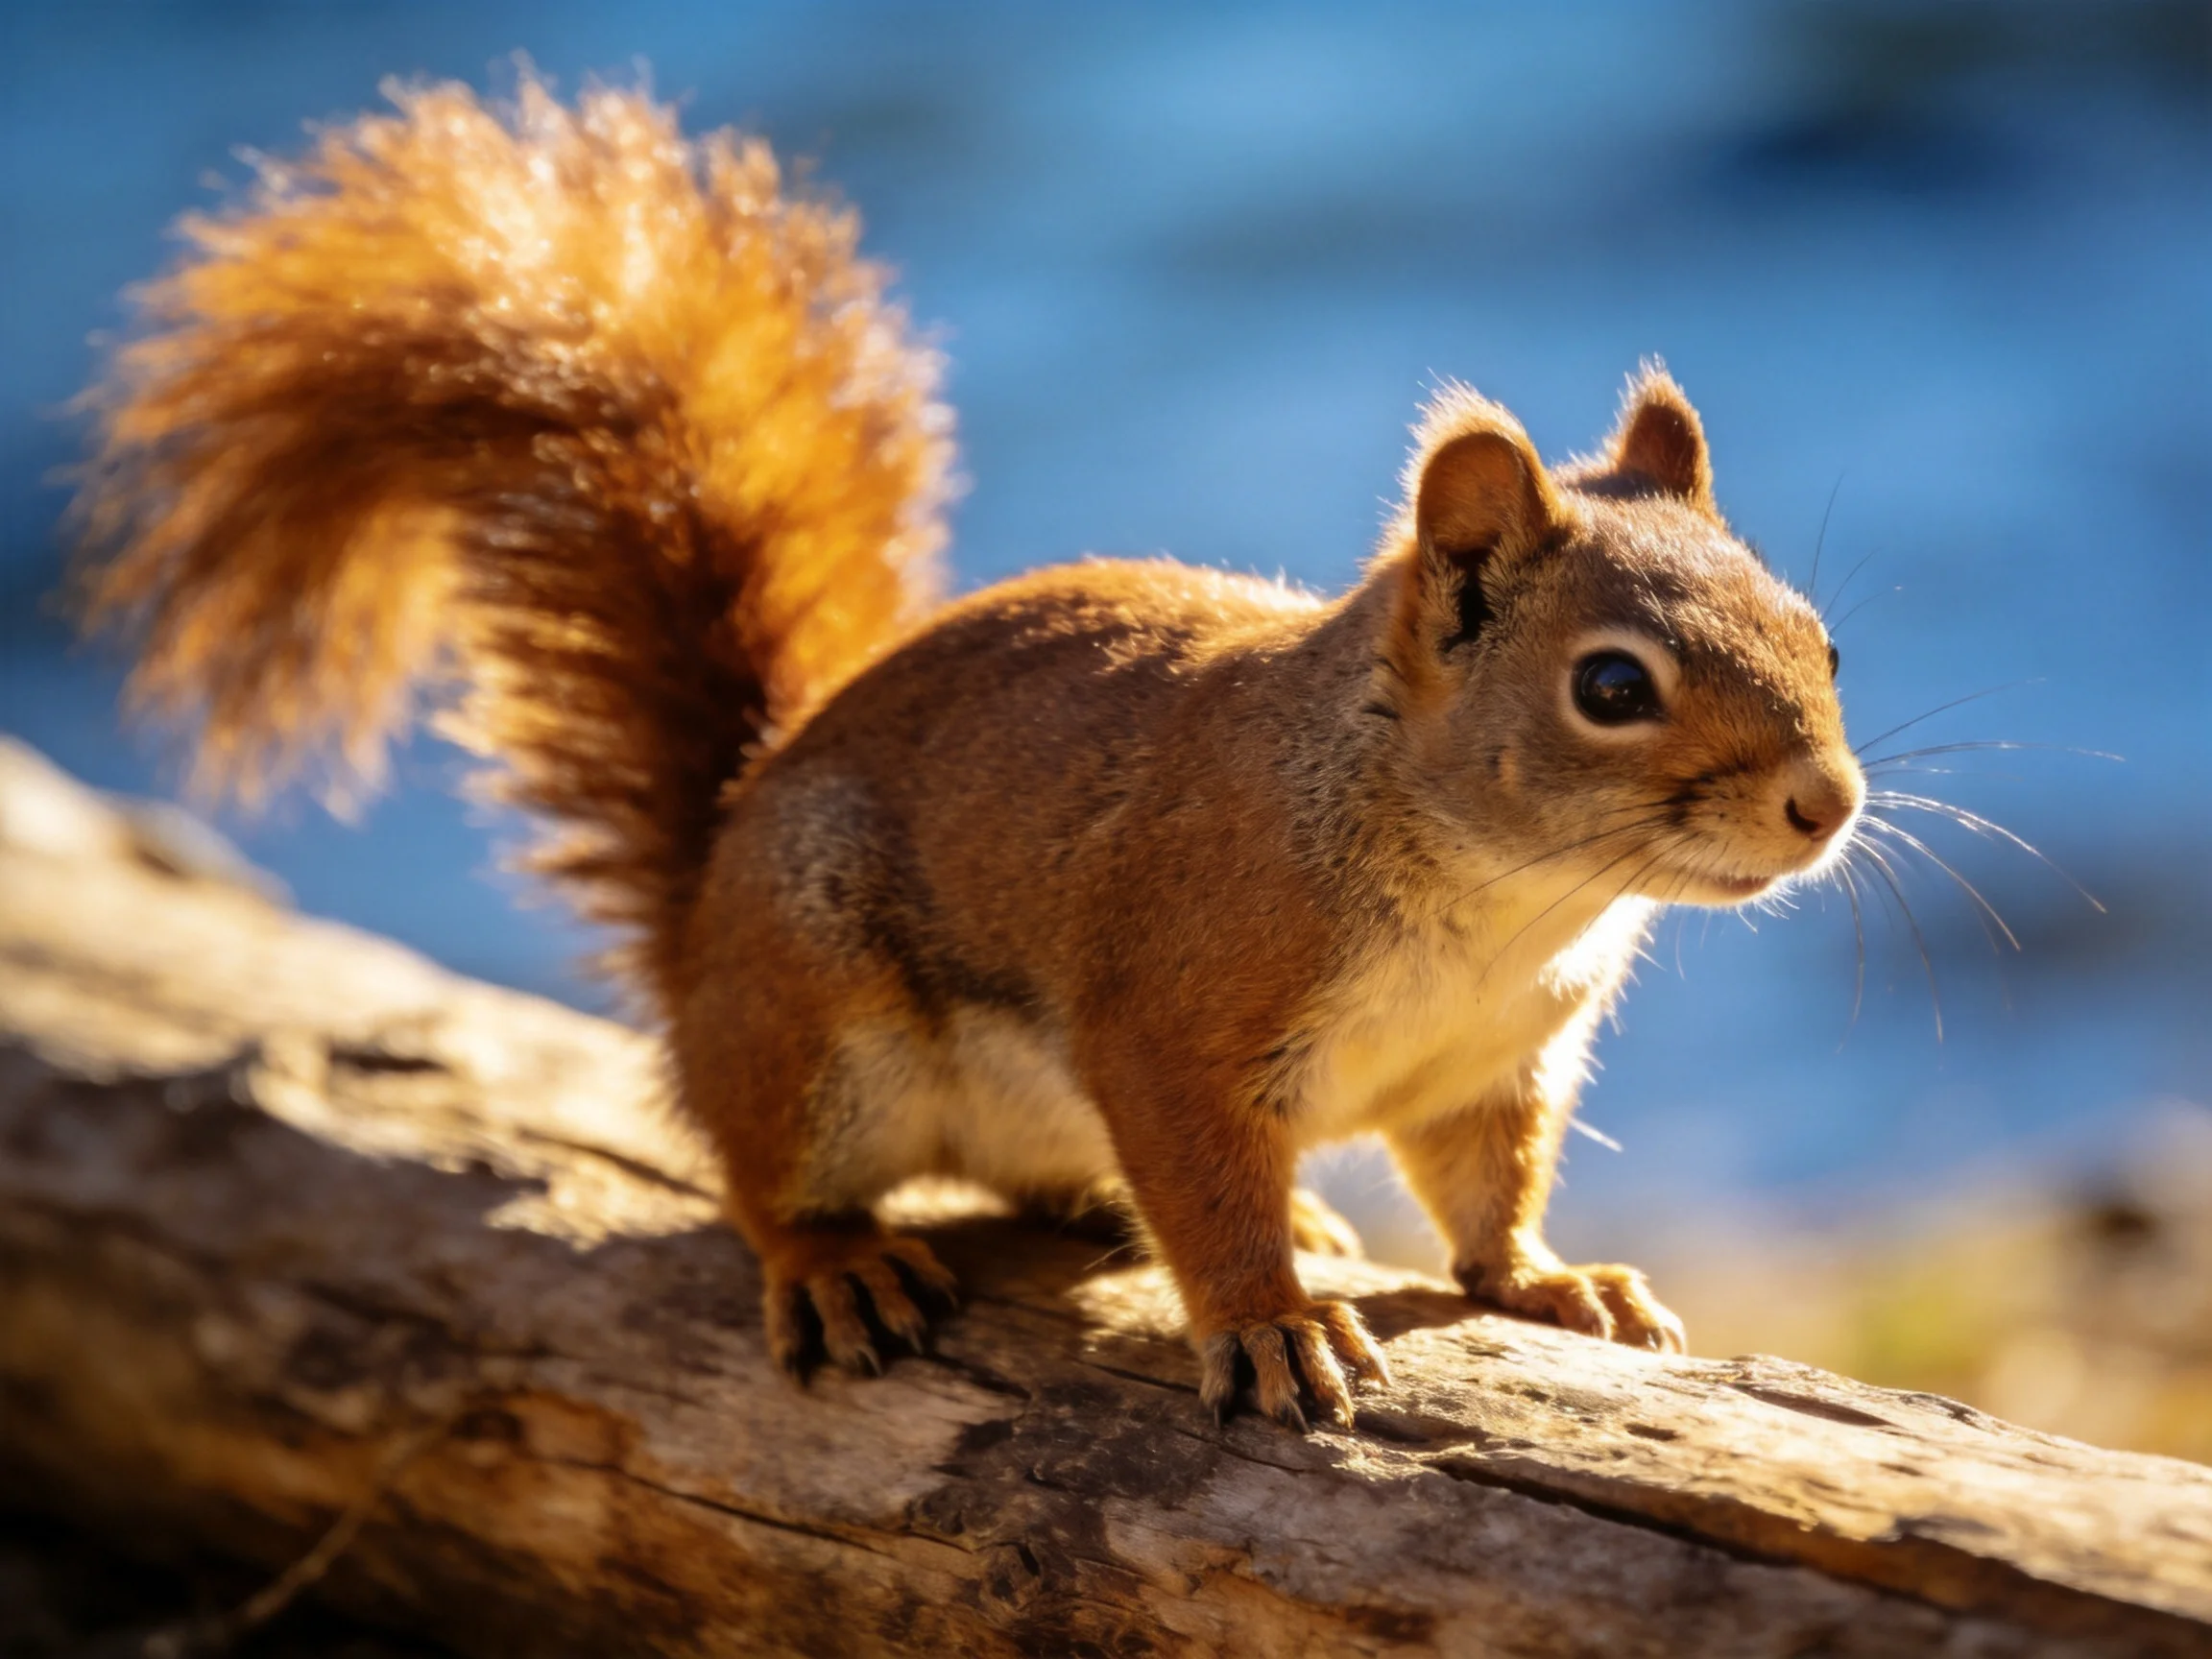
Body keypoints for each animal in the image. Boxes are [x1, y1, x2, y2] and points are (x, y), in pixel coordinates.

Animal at [72, 77, 1864, 1431]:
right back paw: (840, 1263)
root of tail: (698, 926)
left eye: (1822, 635)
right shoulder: (1174, 1009)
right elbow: (1200, 1183)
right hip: (816, 1018)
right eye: (1610, 686)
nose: (1825, 803)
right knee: (759, 1174)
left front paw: (1554, 1279)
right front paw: (1271, 1323)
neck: (1501, 894)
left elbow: (1486, 1193)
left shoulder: (1494, 1066)